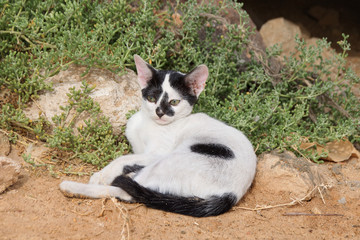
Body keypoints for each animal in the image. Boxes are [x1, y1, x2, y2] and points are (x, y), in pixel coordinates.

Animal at [59, 54, 256, 218]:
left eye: (174, 102)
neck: (148, 124)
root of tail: (231, 195)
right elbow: (130, 157)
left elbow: (122, 159)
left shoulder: (158, 153)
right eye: (152, 98)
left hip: (171, 161)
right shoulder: (139, 149)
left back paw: (72, 187)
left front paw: (102, 174)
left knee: (128, 192)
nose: (159, 112)